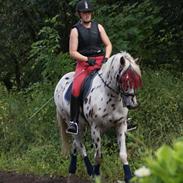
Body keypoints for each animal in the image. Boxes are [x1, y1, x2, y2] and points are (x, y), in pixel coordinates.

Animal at [53, 51, 142, 183]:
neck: (110, 96)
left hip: (82, 125)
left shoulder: (121, 125)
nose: (133, 104)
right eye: (124, 79)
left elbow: (123, 154)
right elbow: (98, 156)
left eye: (136, 79)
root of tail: (61, 81)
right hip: (72, 123)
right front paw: (97, 175)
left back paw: (72, 171)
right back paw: (90, 172)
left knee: (75, 145)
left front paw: (129, 177)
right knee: (80, 145)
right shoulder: (95, 128)